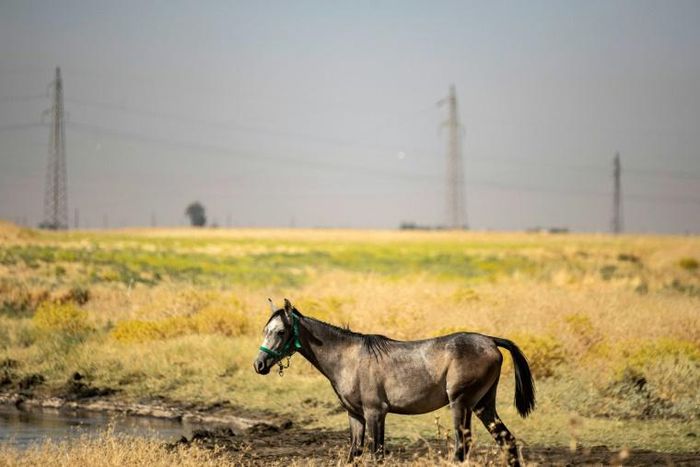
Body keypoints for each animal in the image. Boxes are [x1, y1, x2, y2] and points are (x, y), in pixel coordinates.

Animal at [253, 299, 535, 465]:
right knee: (507, 441)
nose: (259, 364)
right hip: (483, 405)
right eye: (265, 331)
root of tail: (490, 340)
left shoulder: (375, 413)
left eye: (280, 332)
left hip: (461, 404)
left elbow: (376, 454)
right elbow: (354, 453)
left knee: (462, 447)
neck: (348, 357)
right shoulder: (355, 415)